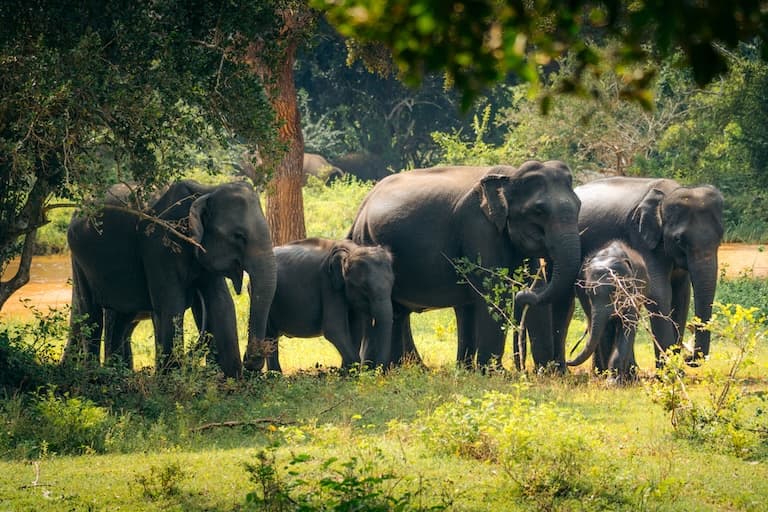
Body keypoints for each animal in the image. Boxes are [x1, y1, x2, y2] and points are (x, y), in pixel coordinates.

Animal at [64, 179, 277, 378]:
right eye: (238, 235)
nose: (249, 360)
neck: (206, 190)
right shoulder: (158, 243)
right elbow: (172, 305)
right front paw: (170, 378)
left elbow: (221, 303)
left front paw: (231, 380)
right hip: (79, 259)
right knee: (91, 314)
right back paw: (96, 376)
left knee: (119, 318)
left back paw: (117, 374)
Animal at [250, 238, 395, 372]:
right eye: (364, 288)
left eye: (392, 284)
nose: (378, 370)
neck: (350, 250)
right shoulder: (328, 285)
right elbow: (334, 329)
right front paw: (353, 372)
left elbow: (356, 329)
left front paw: (345, 372)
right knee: (270, 335)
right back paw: (275, 374)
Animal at [348, 160, 583, 370]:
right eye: (539, 211)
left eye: (579, 206)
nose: (522, 368)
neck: (509, 176)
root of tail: (360, 210)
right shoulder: (477, 228)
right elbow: (493, 292)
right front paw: (494, 374)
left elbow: (538, 289)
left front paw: (546, 374)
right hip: (367, 240)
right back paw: (377, 370)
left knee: (398, 311)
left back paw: (402, 369)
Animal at [567, 240, 649, 383]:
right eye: (588, 293)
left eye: (616, 291)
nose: (567, 360)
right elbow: (604, 331)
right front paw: (608, 379)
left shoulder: (633, 291)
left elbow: (627, 326)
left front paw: (614, 382)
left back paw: (631, 377)